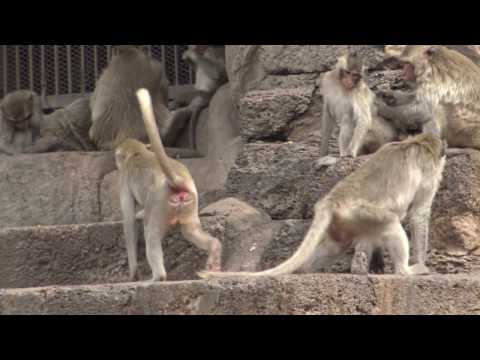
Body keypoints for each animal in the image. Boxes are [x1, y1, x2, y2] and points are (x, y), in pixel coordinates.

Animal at [115, 88, 222, 282]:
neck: (137, 152)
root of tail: (176, 181)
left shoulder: (123, 178)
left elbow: (128, 221)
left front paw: (133, 273)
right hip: (190, 201)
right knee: (191, 231)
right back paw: (214, 249)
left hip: (159, 205)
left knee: (151, 233)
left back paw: (158, 277)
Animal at [199, 134, 446, 280]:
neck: (419, 142)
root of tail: (332, 199)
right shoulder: (429, 172)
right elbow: (419, 214)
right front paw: (421, 263)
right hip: (359, 212)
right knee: (391, 223)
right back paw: (405, 270)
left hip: (344, 221)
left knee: (335, 246)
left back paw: (304, 270)